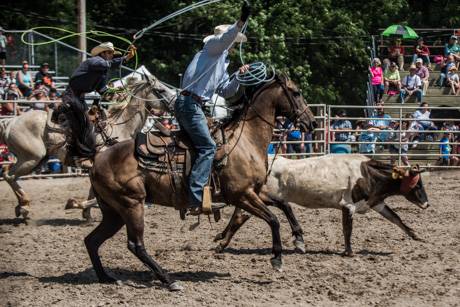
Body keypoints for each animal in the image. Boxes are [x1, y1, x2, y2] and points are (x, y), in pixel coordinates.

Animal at [0, 77, 174, 221]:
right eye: (161, 90)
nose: (175, 103)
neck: (121, 127)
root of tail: (10, 122)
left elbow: (94, 193)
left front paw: (86, 213)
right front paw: (75, 204)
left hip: (35, 160)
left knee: (9, 174)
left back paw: (21, 206)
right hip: (31, 158)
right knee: (9, 175)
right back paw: (24, 206)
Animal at [85, 74, 316, 292]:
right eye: (296, 93)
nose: (312, 123)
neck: (244, 141)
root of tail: (98, 159)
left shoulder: (253, 192)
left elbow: (284, 204)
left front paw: (299, 239)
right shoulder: (241, 195)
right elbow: (273, 219)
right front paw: (277, 258)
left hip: (114, 213)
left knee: (92, 240)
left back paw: (106, 277)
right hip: (131, 205)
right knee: (136, 245)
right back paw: (169, 280)